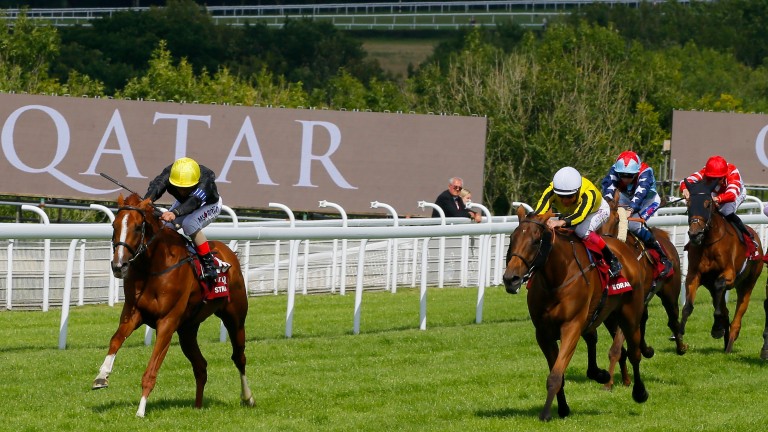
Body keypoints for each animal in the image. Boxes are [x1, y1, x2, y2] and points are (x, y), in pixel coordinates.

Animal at [92, 194, 255, 416]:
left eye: (137, 227)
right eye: (114, 225)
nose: (119, 266)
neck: (153, 267)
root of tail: (229, 254)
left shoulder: (167, 322)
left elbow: (152, 369)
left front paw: (141, 410)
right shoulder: (134, 313)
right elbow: (115, 340)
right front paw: (102, 376)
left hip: (235, 318)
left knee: (239, 357)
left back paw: (248, 397)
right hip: (188, 330)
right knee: (201, 366)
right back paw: (197, 406)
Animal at [500, 208, 652, 420]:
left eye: (536, 241)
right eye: (512, 238)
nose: (510, 279)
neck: (556, 278)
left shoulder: (571, 327)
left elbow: (555, 374)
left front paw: (546, 413)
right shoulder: (543, 334)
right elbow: (559, 374)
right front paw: (563, 409)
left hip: (629, 314)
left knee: (634, 352)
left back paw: (639, 392)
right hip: (603, 315)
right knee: (593, 338)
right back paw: (600, 374)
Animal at [680, 177, 764, 352]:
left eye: (707, 204)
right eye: (688, 203)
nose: (695, 234)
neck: (709, 243)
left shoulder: (729, 274)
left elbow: (720, 290)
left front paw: (718, 328)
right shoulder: (694, 275)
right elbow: (688, 306)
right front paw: (678, 334)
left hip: (748, 284)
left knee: (738, 315)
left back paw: (729, 342)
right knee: (723, 305)